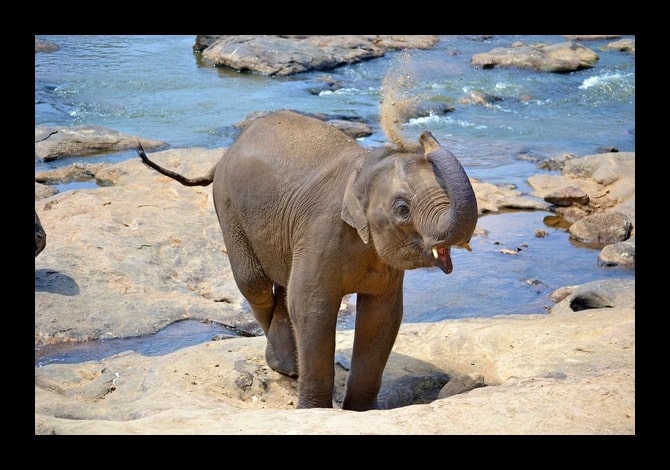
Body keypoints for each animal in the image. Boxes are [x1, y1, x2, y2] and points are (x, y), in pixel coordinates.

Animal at [139, 111, 480, 412]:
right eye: (402, 209)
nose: (424, 137)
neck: (364, 167)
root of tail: (225, 154)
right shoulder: (322, 230)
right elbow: (312, 308)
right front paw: (314, 410)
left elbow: (382, 316)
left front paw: (362, 412)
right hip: (229, 210)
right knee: (254, 284)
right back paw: (285, 366)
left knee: (281, 285)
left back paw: (288, 366)